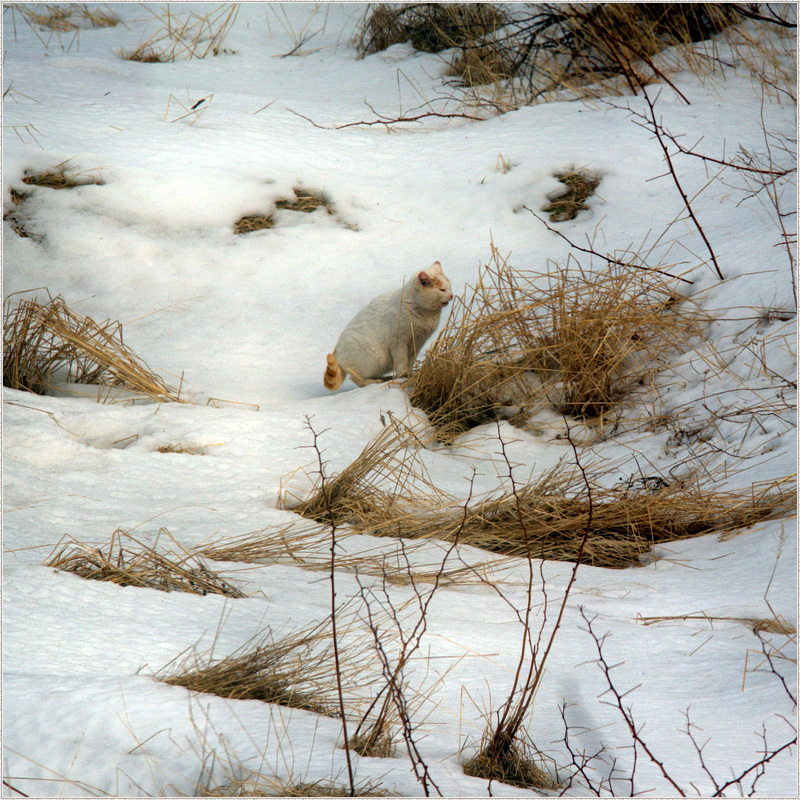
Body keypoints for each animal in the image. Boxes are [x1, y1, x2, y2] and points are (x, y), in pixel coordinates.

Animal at [324, 260, 454, 390]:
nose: (452, 295)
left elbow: (410, 362)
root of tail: (337, 350)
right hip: (373, 360)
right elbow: (402, 362)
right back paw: (372, 382)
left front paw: (410, 376)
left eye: (449, 286)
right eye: (442, 290)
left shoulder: (418, 343)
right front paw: (403, 376)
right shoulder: (399, 342)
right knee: (355, 378)